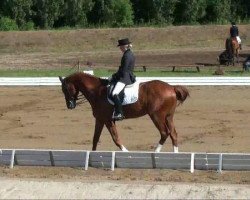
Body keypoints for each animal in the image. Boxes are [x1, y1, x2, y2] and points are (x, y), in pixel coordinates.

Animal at [58, 72, 188, 152]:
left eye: (65, 89)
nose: (70, 106)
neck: (96, 91)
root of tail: (172, 88)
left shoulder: (108, 120)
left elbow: (115, 138)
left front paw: (126, 152)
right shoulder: (100, 119)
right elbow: (95, 138)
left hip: (156, 116)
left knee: (164, 133)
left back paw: (156, 152)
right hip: (168, 117)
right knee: (173, 134)